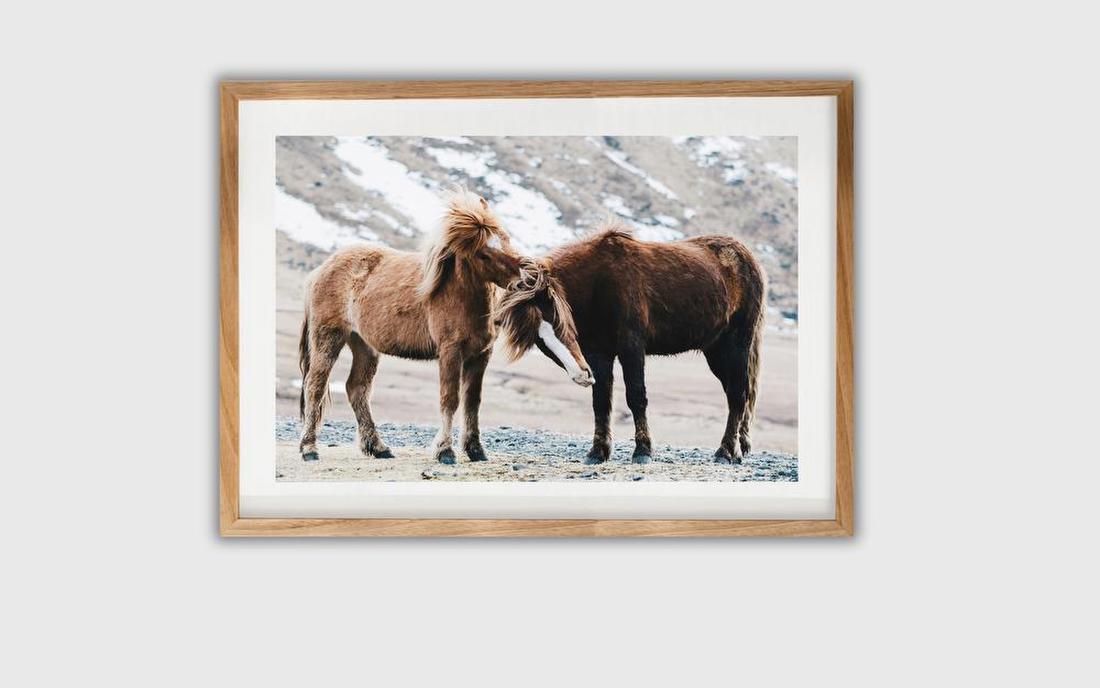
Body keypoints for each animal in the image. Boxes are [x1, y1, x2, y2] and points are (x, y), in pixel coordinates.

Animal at [297, 190, 593, 465]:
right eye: (483, 254)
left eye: (505, 238)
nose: (529, 277)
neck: (458, 294)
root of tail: (320, 269)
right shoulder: (451, 351)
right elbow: (450, 399)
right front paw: (445, 451)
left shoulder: (480, 355)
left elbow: (472, 402)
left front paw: (476, 451)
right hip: (329, 338)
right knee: (315, 386)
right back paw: (309, 449)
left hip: (364, 345)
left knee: (357, 389)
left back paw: (379, 448)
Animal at [494, 220, 767, 465]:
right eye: (538, 339)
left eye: (557, 319)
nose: (582, 375)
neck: (598, 283)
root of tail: (747, 257)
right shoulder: (598, 354)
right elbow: (601, 401)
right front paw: (598, 452)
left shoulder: (631, 348)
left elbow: (636, 396)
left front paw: (643, 450)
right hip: (716, 352)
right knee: (737, 394)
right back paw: (738, 449)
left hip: (736, 345)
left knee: (738, 395)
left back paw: (725, 452)